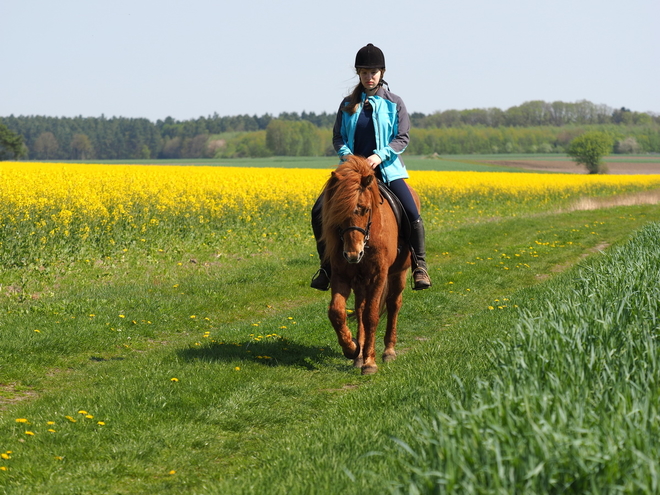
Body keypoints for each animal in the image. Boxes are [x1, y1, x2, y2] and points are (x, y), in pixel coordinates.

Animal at [318, 157, 420, 374]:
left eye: (365, 209)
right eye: (337, 212)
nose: (352, 254)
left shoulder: (378, 276)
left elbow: (371, 316)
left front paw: (370, 363)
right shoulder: (341, 275)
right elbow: (337, 312)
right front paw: (352, 348)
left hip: (398, 273)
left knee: (393, 304)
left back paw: (388, 351)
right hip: (360, 282)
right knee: (359, 309)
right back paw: (359, 354)